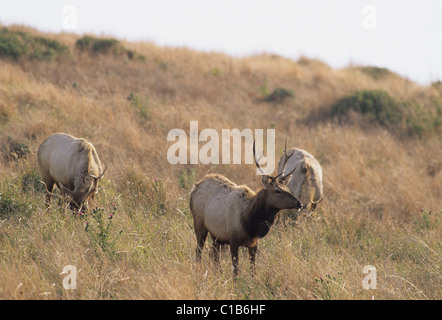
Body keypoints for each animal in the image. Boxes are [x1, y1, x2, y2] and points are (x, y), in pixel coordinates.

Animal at [188, 139, 302, 276]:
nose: (299, 203)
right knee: (199, 252)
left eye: (288, 189)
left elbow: (253, 270)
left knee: (214, 254)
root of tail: (194, 188)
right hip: (199, 224)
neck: (250, 224)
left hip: (216, 235)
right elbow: (236, 270)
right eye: (277, 191)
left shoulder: (254, 243)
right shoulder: (233, 240)